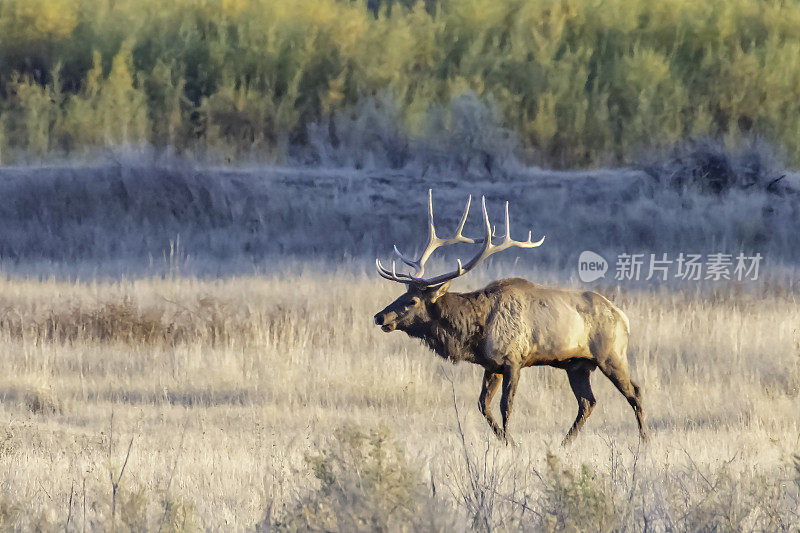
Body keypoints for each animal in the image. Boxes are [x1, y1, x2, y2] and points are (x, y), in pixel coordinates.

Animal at [372, 189, 648, 442]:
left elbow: (506, 405)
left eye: (412, 300)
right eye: (403, 294)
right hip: (577, 364)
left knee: (634, 392)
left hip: (611, 355)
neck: (475, 331)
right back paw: (565, 442)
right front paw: (505, 440)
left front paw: (511, 443)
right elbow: (483, 405)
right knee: (588, 401)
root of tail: (623, 317)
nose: (379, 317)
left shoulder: (513, 359)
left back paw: (643, 439)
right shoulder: (491, 364)